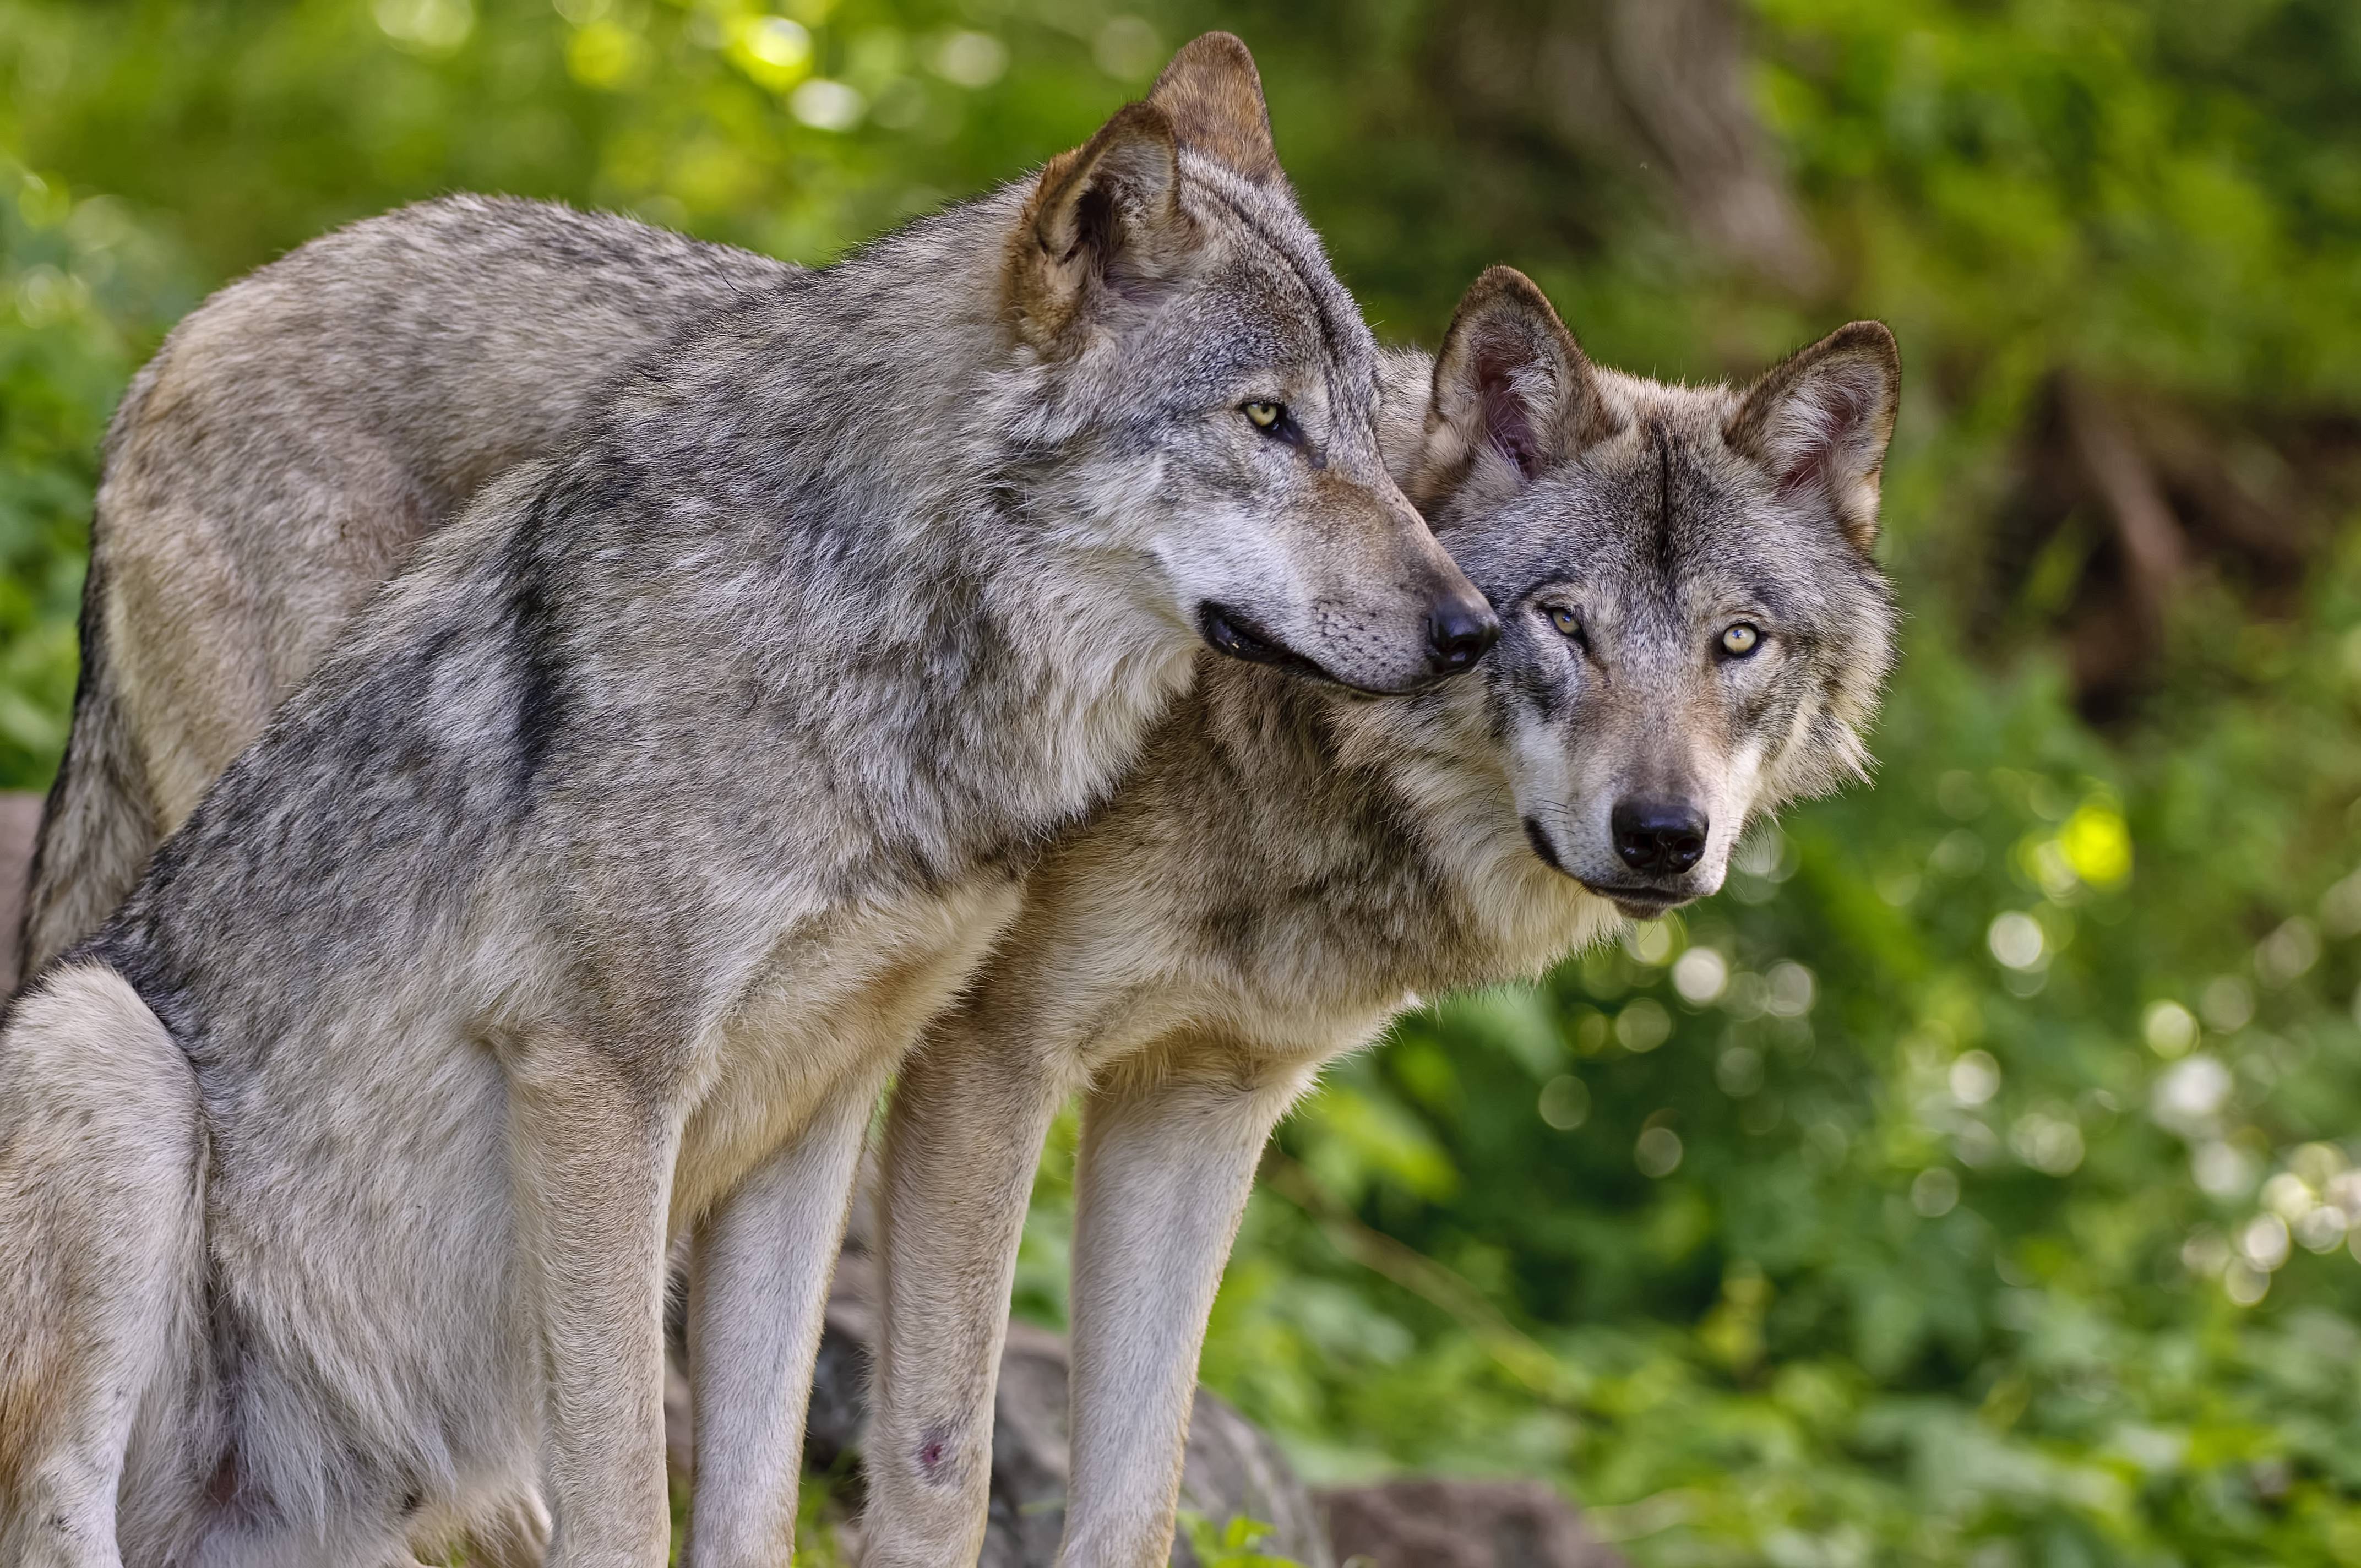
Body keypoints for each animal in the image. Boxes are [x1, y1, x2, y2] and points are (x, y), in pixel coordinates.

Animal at [0, 34, 1495, 1568]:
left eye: (1373, 435)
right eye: (1265, 418)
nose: (1471, 629)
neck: (866, 648)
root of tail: (165, 352)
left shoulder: (817, 1106)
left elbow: (753, 1491)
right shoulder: (602, 1083)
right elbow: (626, 1495)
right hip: (101, 1044)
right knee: (53, 1509)